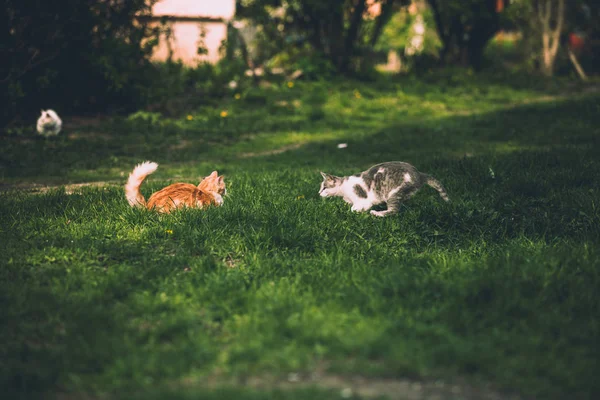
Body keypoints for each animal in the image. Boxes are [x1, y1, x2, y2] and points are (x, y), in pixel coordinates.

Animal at [318, 161, 450, 217]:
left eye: (324, 187)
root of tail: (419, 174)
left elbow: (354, 208)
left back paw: (377, 213)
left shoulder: (363, 199)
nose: (319, 193)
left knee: (394, 210)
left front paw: (358, 212)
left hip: (393, 193)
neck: (343, 190)